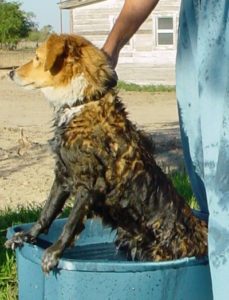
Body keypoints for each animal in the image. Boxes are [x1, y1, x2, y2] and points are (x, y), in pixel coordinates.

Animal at [5, 34, 207, 274]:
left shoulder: (90, 186)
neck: (82, 102)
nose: (10, 73)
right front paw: (27, 236)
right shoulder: (63, 176)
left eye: (37, 57)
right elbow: (47, 212)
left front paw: (54, 252)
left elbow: (70, 223)